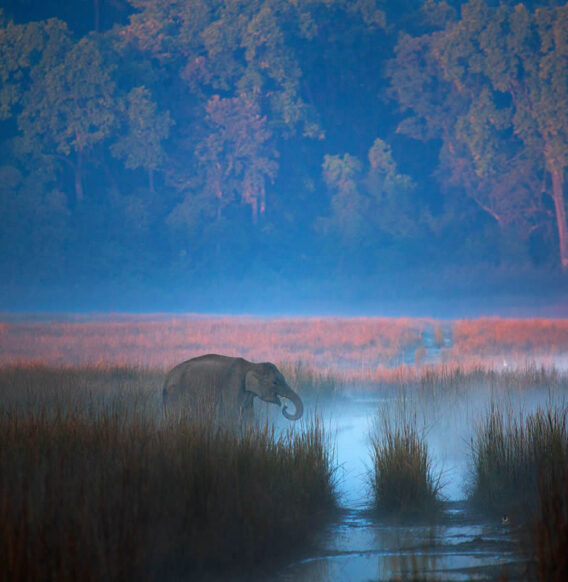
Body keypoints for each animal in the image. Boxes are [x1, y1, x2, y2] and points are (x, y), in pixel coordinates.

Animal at [162, 356, 304, 424]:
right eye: (275, 382)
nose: (285, 407)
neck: (251, 365)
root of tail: (166, 378)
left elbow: (249, 416)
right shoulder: (232, 385)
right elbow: (233, 414)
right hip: (176, 394)